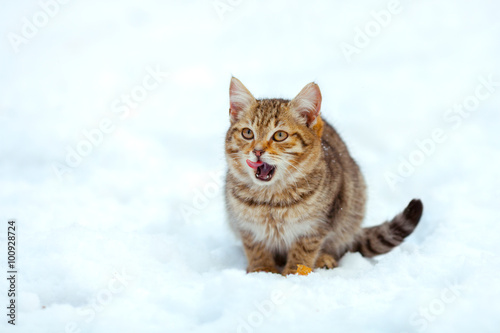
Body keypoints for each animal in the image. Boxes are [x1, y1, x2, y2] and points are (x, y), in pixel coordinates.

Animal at [225, 76, 424, 274]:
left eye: (280, 135)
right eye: (247, 133)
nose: (257, 151)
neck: (271, 199)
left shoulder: (316, 224)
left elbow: (303, 250)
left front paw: (294, 274)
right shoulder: (245, 226)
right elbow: (256, 248)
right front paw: (262, 271)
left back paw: (324, 259)